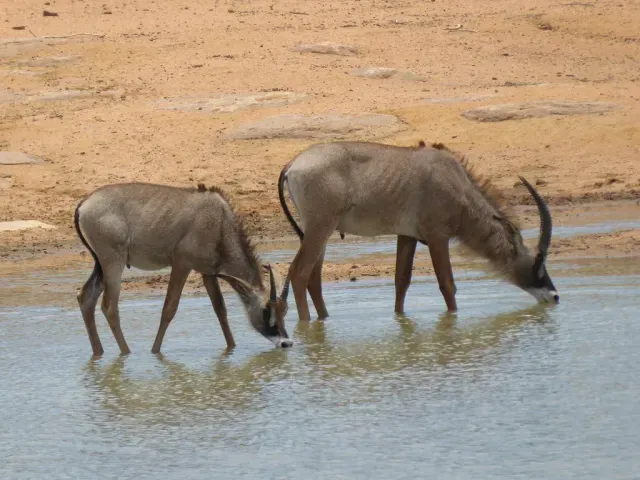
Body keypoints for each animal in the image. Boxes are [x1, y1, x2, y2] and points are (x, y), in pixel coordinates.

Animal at [74, 182, 292, 357]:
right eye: (266, 310)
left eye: (285, 310)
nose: (286, 343)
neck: (220, 221)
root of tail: (84, 205)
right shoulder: (181, 264)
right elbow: (169, 309)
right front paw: (155, 352)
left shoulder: (208, 273)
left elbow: (220, 309)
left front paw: (231, 348)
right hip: (113, 262)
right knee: (109, 307)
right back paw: (126, 353)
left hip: (101, 265)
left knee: (86, 297)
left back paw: (99, 353)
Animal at [278, 141, 559, 321]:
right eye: (537, 262)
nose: (555, 296)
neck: (456, 182)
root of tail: (293, 164)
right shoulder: (437, 237)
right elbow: (447, 285)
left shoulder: (407, 236)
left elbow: (401, 282)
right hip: (319, 229)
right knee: (299, 273)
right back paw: (305, 324)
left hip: (320, 232)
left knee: (313, 278)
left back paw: (323, 320)